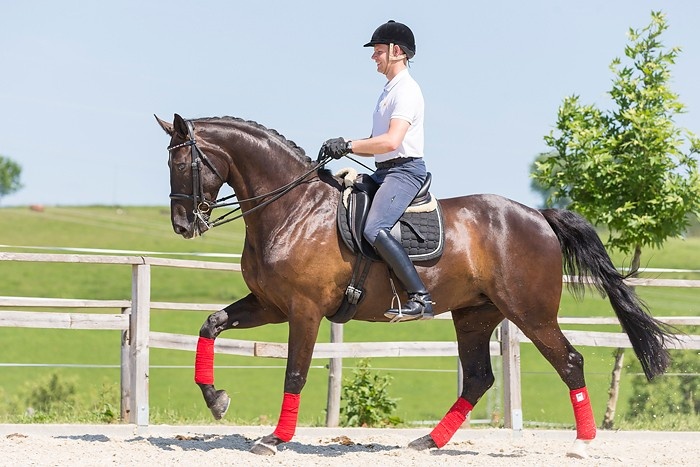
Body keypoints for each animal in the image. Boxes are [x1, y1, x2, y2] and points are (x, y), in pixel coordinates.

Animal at [154, 113, 672, 458]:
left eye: (185, 164)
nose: (182, 225)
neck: (293, 209)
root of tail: (538, 216)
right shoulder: (270, 305)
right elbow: (210, 324)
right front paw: (217, 401)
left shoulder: (303, 310)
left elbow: (294, 373)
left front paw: (275, 439)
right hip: (475, 315)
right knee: (479, 377)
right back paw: (429, 440)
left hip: (531, 312)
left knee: (569, 362)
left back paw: (583, 444)